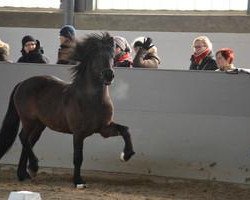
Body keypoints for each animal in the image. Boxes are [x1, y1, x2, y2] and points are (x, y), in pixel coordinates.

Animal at [0, 32, 135, 188]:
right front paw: (78, 181)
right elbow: (78, 157)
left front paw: (126, 155)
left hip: (39, 125)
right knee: (23, 138)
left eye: (112, 56)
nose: (109, 75)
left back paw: (24, 174)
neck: (91, 100)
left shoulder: (104, 129)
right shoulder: (78, 133)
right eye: (96, 56)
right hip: (29, 120)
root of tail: (22, 83)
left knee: (28, 141)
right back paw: (33, 167)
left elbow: (125, 130)